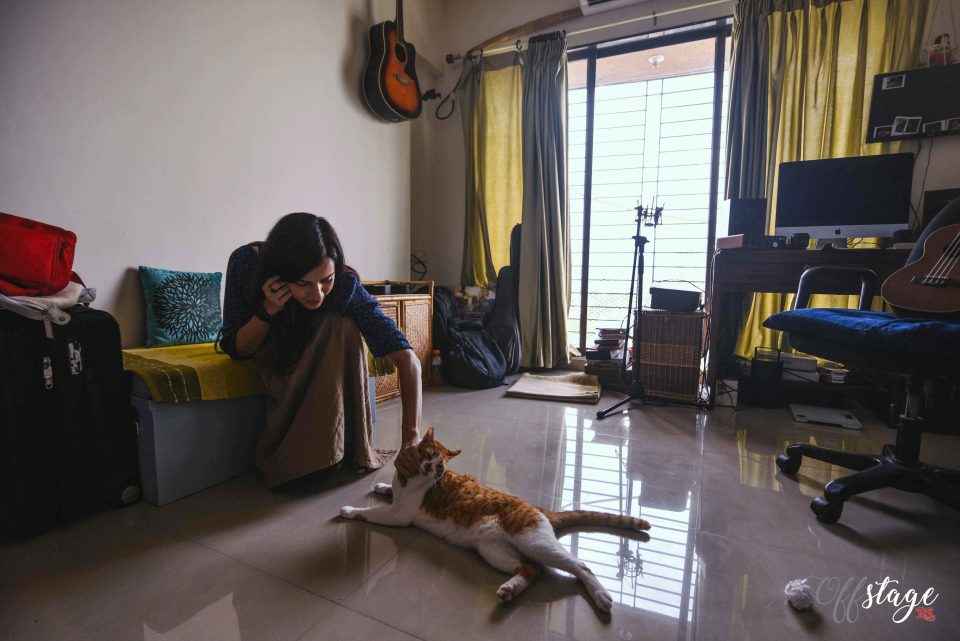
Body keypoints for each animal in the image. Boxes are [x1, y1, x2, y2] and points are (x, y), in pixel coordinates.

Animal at [340, 424, 652, 608]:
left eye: (440, 466)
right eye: (427, 455)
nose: (430, 469)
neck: (412, 478)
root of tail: (537, 507)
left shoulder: (399, 515)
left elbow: (370, 513)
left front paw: (350, 510)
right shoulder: (399, 500)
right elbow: (388, 491)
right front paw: (381, 487)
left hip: (533, 542)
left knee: (579, 566)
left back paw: (600, 595)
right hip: (492, 550)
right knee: (532, 570)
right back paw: (509, 590)